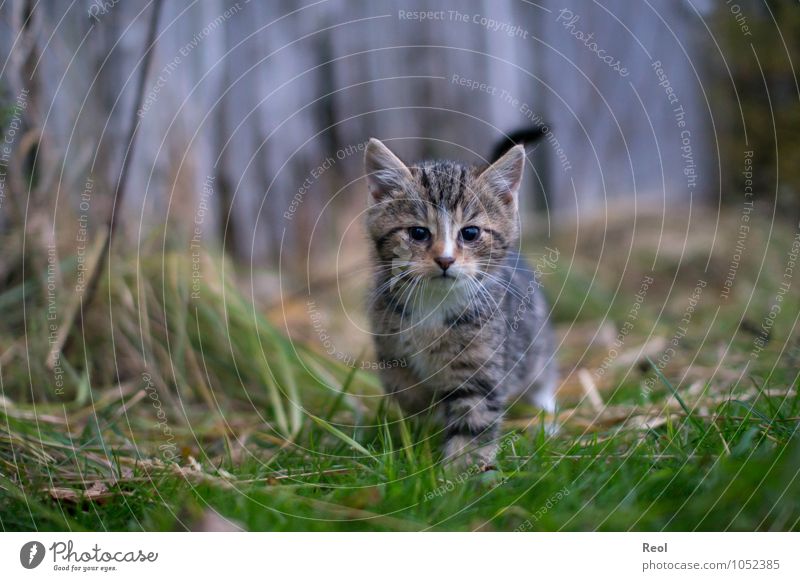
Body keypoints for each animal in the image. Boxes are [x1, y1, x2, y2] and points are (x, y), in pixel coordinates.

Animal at [366, 135, 560, 466]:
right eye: (418, 233)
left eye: (469, 233)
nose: (445, 260)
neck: (434, 303)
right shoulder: (391, 351)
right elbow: (409, 396)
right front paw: (420, 434)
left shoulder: (480, 366)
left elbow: (473, 419)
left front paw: (460, 471)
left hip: (537, 343)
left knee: (542, 375)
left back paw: (547, 417)